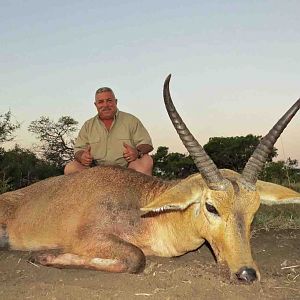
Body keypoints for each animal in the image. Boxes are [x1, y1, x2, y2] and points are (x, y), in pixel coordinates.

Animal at [0, 75, 300, 284]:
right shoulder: (90, 237)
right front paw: (44, 255)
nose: (247, 274)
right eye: (211, 206)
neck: (148, 211)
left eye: (254, 211)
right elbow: (137, 258)